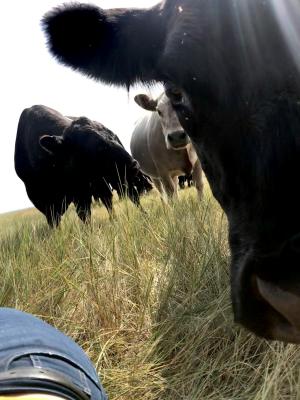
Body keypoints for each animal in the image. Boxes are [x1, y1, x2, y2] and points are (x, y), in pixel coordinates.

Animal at [15, 104, 143, 227]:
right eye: (96, 146)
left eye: (113, 136)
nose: (134, 165)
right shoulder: (44, 204)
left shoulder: (81, 192)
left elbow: (85, 215)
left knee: (130, 196)